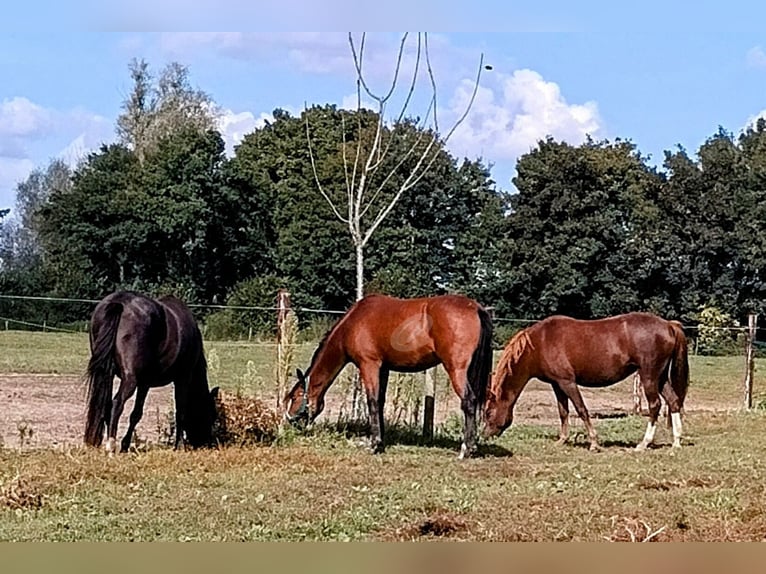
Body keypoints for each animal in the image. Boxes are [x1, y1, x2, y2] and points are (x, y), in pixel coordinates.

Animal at [83, 294, 219, 456]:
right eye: (211, 414)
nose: (206, 443)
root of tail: (119, 302)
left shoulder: (145, 383)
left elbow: (136, 414)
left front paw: (125, 446)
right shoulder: (183, 378)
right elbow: (180, 411)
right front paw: (179, 445)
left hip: (107, 375)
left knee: (106, 404)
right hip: (130, 379)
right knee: (117, 403)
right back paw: (111, 446)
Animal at [284, 294, 496, 462]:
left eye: (294, 397)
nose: (290, 421)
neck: (352, 323)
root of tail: (475, 307)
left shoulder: (369, 365)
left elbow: (372, 401)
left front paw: (374, 444)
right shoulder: (383, 368)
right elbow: (380, 401)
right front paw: (381, 440)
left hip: (456, 369)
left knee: (468, 402)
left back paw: (466, 449)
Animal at [488, 312, 692, 452]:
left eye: (488, 412)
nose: (486, 434)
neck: (539, 343)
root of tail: (669, 325)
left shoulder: (568, 382)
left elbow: (581, 410)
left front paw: (594, 442)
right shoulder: (557, 384)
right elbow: (563, 412)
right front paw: (562, 440)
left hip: (649, 376)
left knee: (655, 405)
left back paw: (644, 443)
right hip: (660, 377)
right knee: (674, 401)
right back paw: (676, 441)